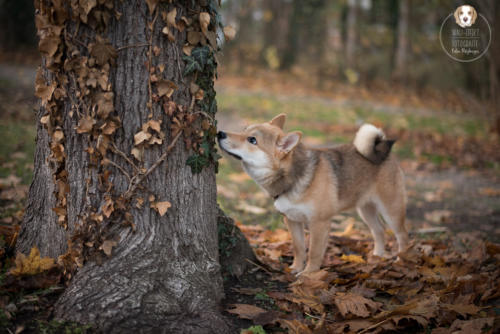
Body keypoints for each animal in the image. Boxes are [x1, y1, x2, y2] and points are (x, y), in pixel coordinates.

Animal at [217, 113, 408, 276]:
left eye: (252, 140)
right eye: (244, 130)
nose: (220, 133)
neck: (291, 178)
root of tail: (383, 150)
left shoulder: (319, 223)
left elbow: (314, 252)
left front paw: (308, 274)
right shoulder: (292, 220)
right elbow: (299, 248)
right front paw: (295, 268)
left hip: (391, 210)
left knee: (402, 236)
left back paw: (402, 261)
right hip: (365, 209)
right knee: (379, 231)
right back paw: (376, 257)